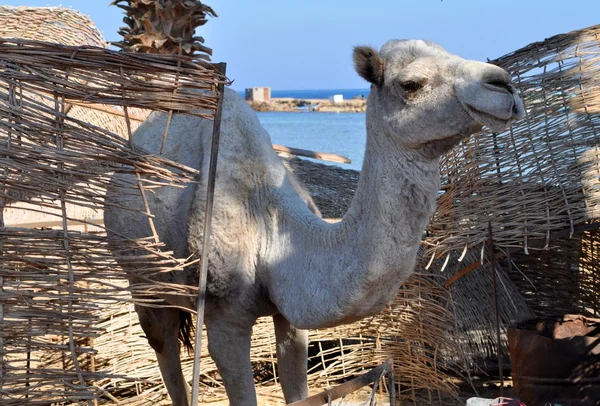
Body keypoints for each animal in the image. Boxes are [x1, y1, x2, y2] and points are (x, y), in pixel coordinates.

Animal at [104, 38, 524, 406]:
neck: (272, 232)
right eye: (411, 84)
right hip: (140, 277)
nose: (503, 85)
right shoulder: (225, 319)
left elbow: (298, 388)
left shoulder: (293, 319)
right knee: (165, 350)